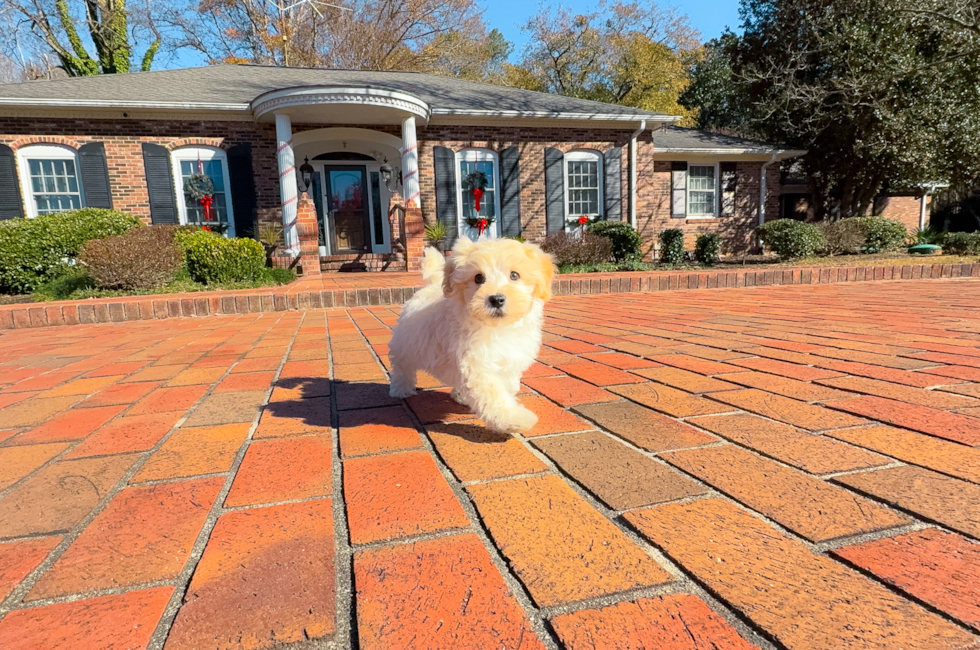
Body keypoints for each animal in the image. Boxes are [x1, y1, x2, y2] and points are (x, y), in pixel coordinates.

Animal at [390, 235, 560, 432]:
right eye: (478, 278)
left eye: (514, 275)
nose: (496, 299)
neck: (497, 328)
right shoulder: (476, 364)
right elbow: (493, 394)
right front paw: (513, 418)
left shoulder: (509, 360)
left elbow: (506, 385)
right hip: (406, 345)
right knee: (402, 367)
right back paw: (401, 389)